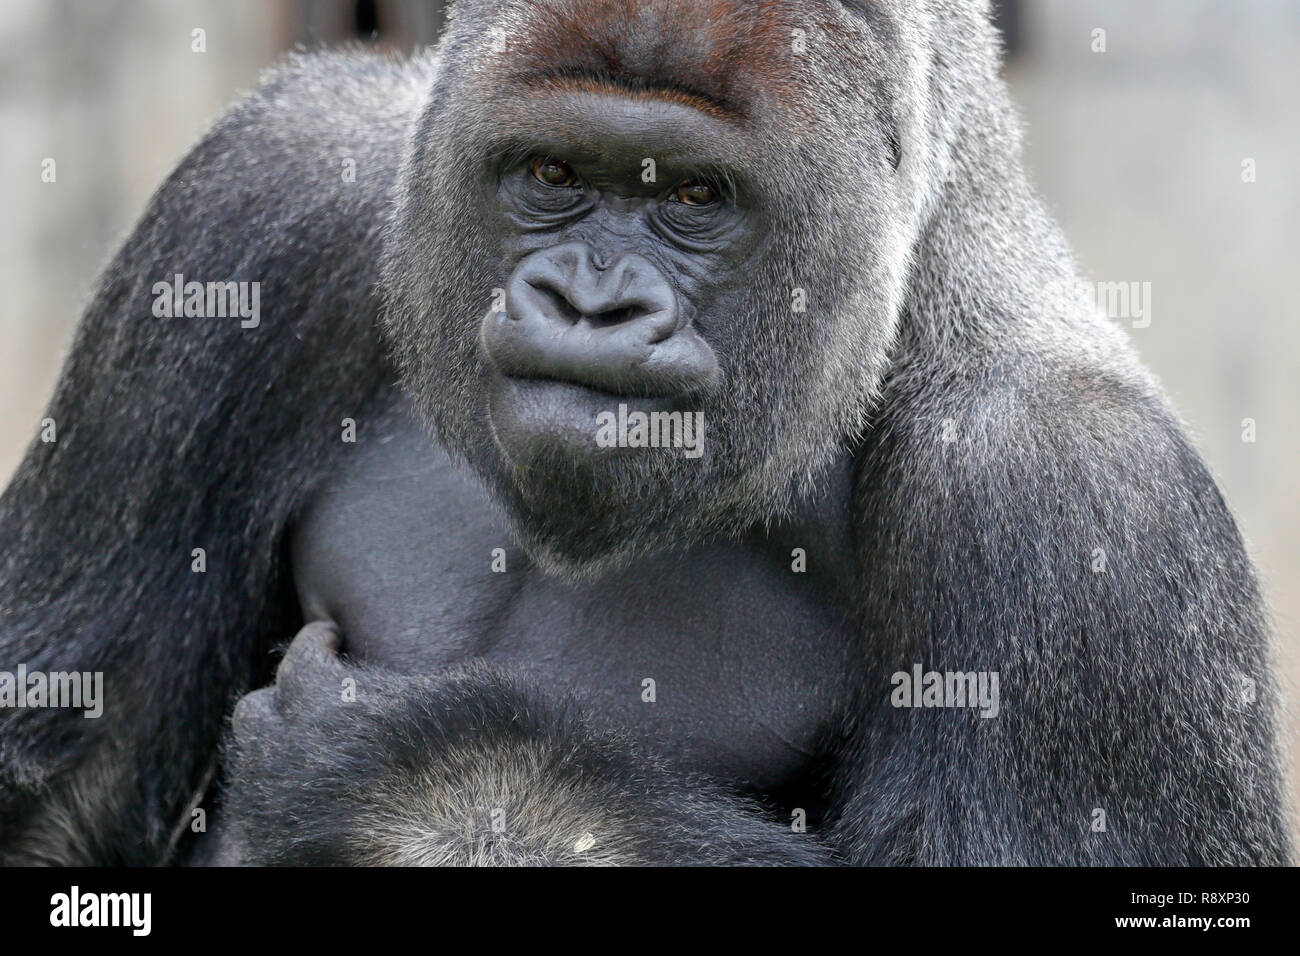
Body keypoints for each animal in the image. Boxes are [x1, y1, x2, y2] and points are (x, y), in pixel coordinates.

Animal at [0, 0, 1289, 866]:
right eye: (551, 172)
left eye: (694, 197)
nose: (589, 304)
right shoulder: (263, 200)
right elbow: (55, 790)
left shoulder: (1075, 494)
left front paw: (404, 769)